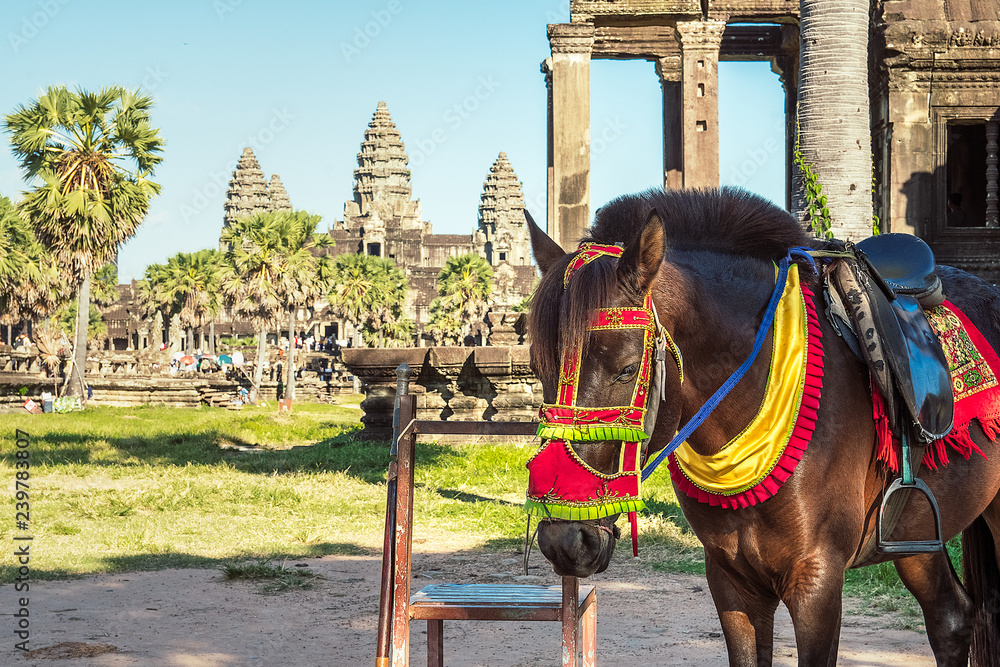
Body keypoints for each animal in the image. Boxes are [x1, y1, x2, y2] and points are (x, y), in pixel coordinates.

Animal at [523, 187, 1000, 666]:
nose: (564, 539)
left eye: (625, 370)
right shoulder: (730, 579)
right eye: (537, 369)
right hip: (917, 530)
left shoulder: (817, 581)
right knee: (950, 618)